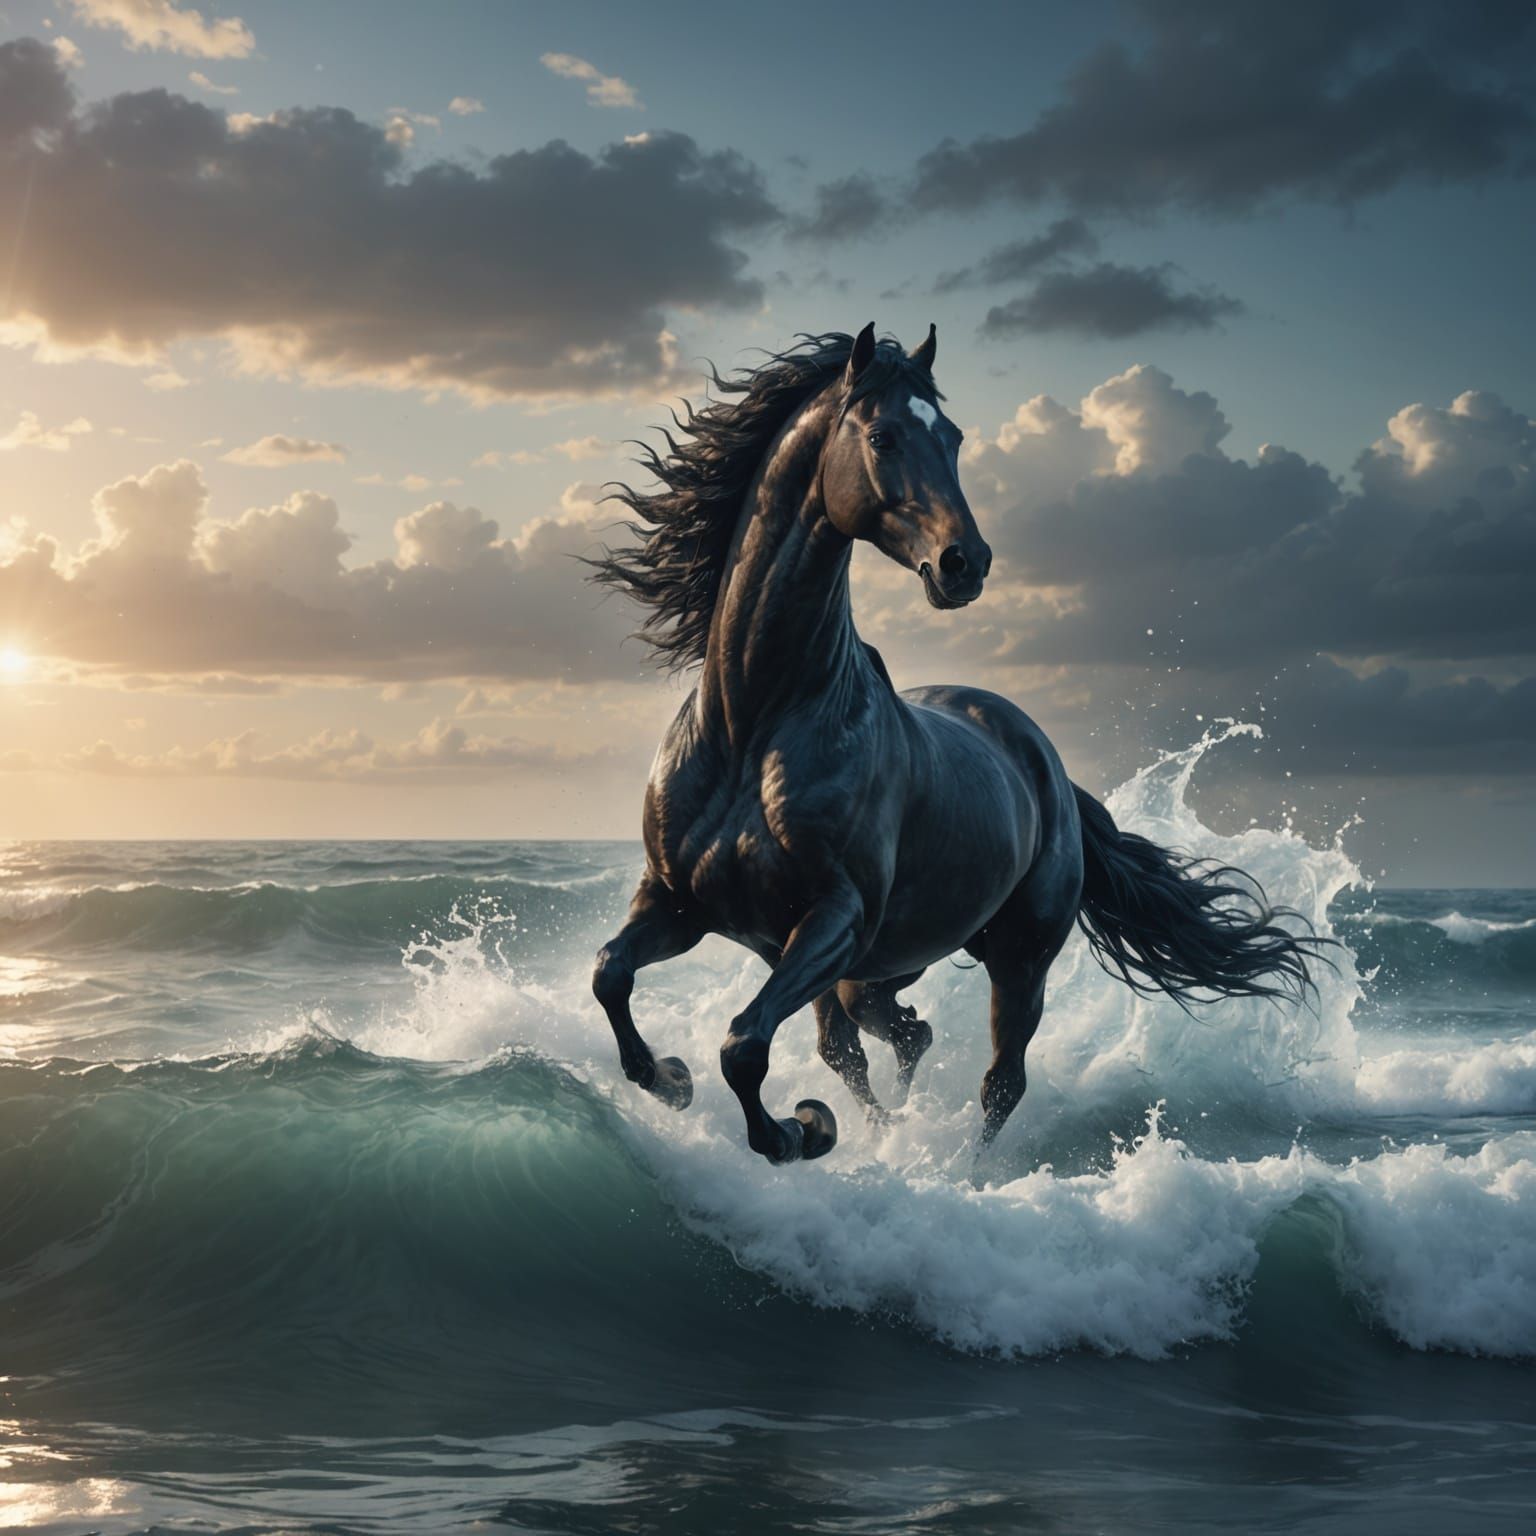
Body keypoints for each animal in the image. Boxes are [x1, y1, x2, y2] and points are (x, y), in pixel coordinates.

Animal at [588, 325, 1324, 1166]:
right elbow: (611, 974)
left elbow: (743, 1045)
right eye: (882, 435)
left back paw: (962, 1169)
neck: (755, 725)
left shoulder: (835, 918)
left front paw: (793, 1132)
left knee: (995, 1079)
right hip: (881, 960)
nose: (965, 563)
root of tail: (1048, 765)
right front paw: (673, 1082)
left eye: (956, 438)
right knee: (888, 1034)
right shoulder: (679, 901)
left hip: (1014, 956)